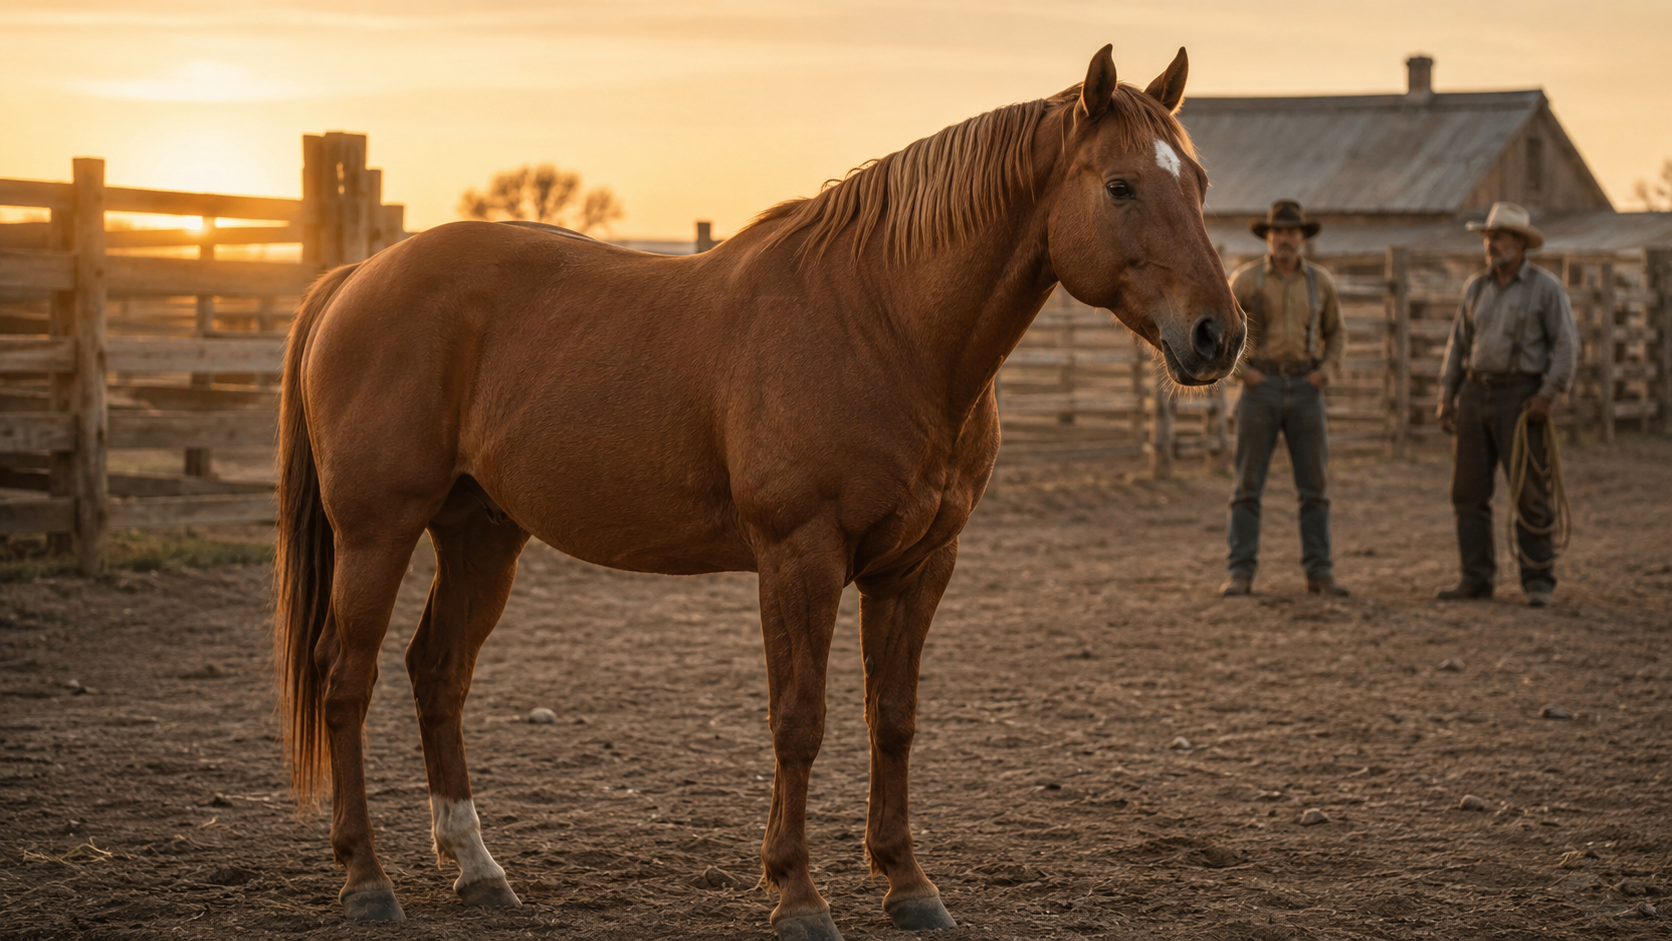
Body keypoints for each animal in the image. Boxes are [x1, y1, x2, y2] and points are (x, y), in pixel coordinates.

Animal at [274, 44, 1242, 941]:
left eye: (1198, 182)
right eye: (1120, 186)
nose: (1217, 335)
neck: (882, 324)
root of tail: (355, 279)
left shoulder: (919, 566)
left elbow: (893, 718)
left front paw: (908, 883)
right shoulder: (799, 558)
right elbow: (799, 720)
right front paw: (798, 894)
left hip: (482, 534)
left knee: (437, 672)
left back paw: (477, 869)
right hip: (377, 533)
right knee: (345, 678)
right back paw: (367, 880)